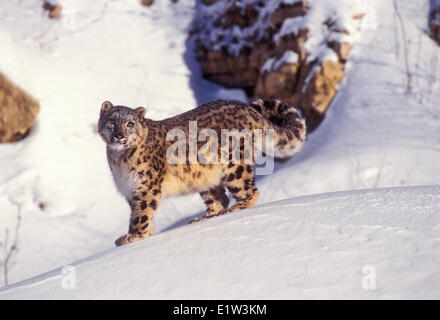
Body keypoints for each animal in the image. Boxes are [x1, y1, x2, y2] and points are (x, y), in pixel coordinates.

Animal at [98, 99, 306, 246]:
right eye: (111, 122)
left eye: (130, 123)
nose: (119, 135)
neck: (119, 160)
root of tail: (246, 108)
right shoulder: (129, 190)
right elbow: (142, 214)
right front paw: (145, 235)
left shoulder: (145, 187)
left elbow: (141, 214)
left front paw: (133, 236)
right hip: (205, 178)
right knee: (220, 198)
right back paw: (204, 217)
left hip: (234, 165)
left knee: (249, 191)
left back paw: (235, 208)